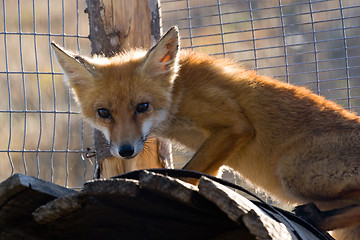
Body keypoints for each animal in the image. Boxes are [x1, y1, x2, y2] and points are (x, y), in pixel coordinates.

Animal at [52, 27, 360, 238]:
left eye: (143, 107)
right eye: (104, 113)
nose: (125, 151)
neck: (178, 90)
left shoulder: (234, 126)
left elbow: (189, 170)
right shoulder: (218, 153)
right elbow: (202, 175)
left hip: (291, 171)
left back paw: (316, 217)